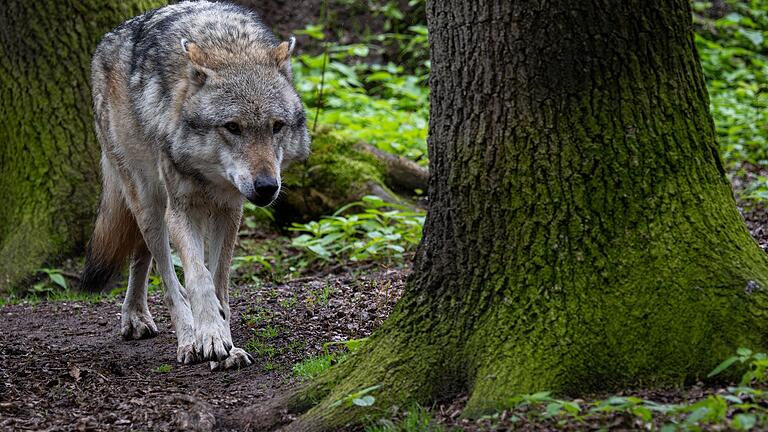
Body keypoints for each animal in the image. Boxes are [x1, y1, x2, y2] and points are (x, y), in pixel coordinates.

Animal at [82, 1, 310, 370]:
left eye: (277, 126)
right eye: (232, 127)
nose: (266, 186)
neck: (228, 45)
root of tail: (108, 39)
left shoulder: (229, 211)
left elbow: (219, 283)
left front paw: (226, 342)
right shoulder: (182, 211)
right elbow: (197, 279)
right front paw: (210, 338)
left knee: (142, 256)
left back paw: (137, 315)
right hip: (149, 203)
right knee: (167, 276)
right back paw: (186, 339)